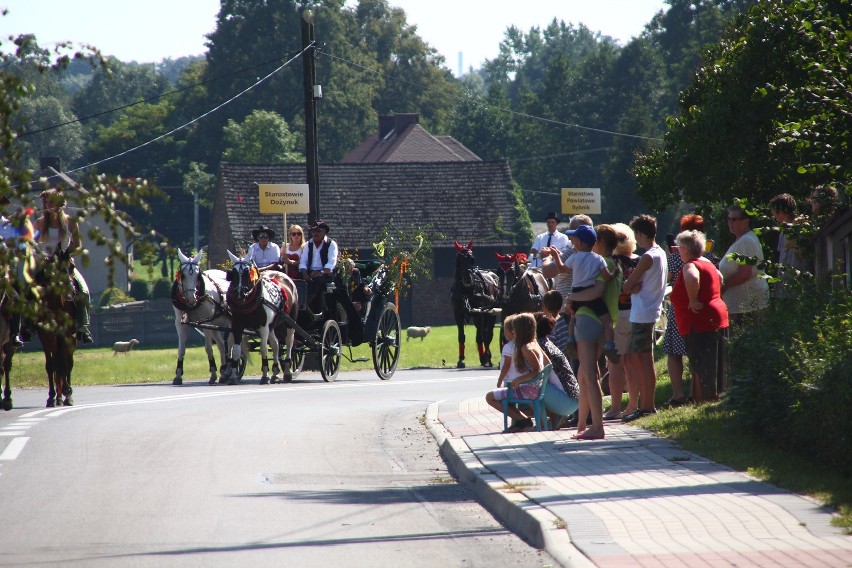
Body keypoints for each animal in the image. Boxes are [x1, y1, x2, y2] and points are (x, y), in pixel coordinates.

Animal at [31, 246, 77, 406]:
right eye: (56, 268)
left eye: (71, 267)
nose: (71, 292)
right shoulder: (45, 334)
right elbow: (51, 365)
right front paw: (51, 396)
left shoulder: (66, 333)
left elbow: (64, 363)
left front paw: (67, 393)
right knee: (57, 362)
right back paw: (58, 397)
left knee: (67, 362)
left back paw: (66, 395)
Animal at [172, 248, 240, 386]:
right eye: (182, 275)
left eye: (198, 275)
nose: (191, 299)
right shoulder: (180, 323)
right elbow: (181, 349)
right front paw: (178, 375)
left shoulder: (206, 323)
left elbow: (208, 348)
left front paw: (213, 374)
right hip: (215, 324)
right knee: (221, 345)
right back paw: (224, 372)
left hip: (227, 323)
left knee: (230, 344)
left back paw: (229, 371)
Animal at [225, 251, 298, 384]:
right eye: (233, 273)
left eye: (247, 272)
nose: (239, 294)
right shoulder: (236, 325)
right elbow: (236, 349)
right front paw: (233, 377)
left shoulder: (263, 327)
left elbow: (263, 349)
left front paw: (264, 375)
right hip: (272, 325)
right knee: (276, 344)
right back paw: (275, 372)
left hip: (290, 322)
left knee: (289, 343)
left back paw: (287, 372)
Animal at [450, 240, 496, 368]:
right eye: (458, 259)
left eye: (472, 259)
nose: (467, 279)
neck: (466, 291)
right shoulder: (458, 313)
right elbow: (461, 336)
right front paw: (461, 360)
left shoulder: (478, 314)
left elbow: (480, 337)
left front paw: (483, 358)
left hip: (490, 314)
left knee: (487, 334)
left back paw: (487, 358)